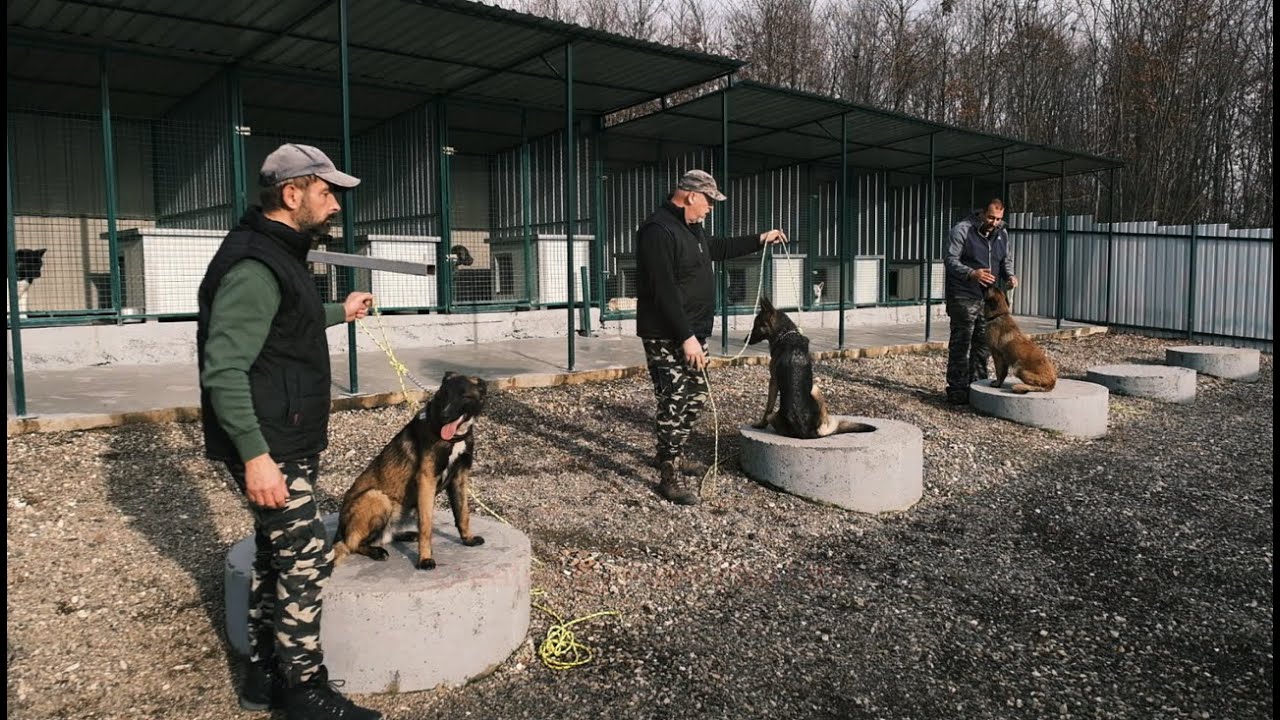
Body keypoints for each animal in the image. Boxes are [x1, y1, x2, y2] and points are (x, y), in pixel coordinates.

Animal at [332, 368, 486, 566]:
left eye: (464, 396)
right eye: (445, 394)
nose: (445, 415)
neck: (453, 438)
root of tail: (340, 530)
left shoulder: (459, 478)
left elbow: (463, 513)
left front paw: (468, 539)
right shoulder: (427, 480)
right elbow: (426, 525)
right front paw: (425, 559)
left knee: (384, 536)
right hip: (377, 497)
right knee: (351, 544)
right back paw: (377, 552)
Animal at [747, 297, 875, 438]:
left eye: (756, 325)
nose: (745, 340)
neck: (786, 334)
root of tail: (806, 431)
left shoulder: (773, 381)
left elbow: (767, 407)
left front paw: (760, 424)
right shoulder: (774, 381)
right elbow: (768, 407)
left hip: (814, 389)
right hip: (814, 390)